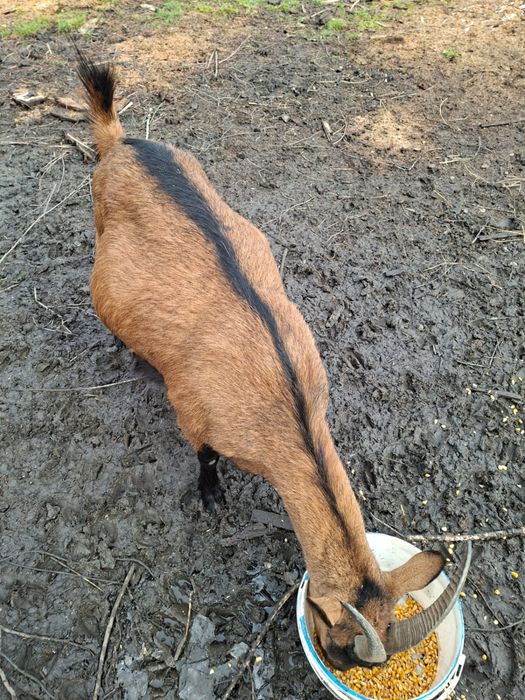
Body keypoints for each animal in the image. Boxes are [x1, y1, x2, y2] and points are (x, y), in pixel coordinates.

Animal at [77, 53, 471, 669]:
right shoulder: (194, 411)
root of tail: (120, 142)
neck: (288, 409)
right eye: (345, 647)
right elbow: (205, 457)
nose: (334, 663)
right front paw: (212, 497)